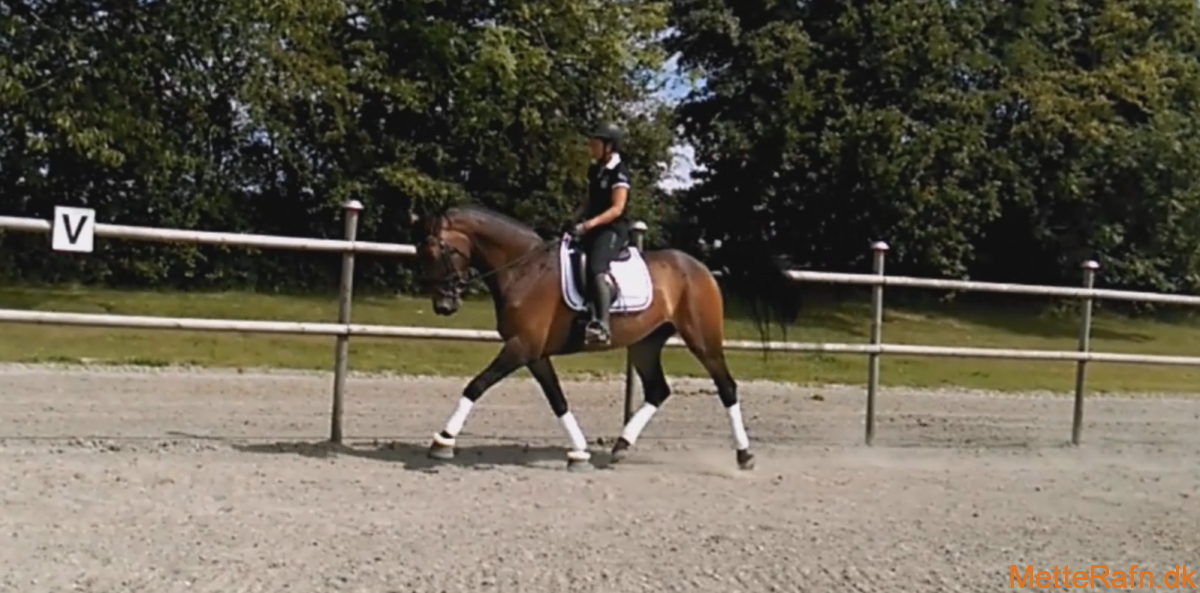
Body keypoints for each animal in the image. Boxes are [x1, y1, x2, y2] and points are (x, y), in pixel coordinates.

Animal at [412, 203, 798, 472]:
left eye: (439, 252)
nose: (443, 306)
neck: (523, 268)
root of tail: (699, 266)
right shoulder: (534, 353)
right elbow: (558, 400)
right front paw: (579, 452)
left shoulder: (520, 348)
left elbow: (476, 386)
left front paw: (443, 441)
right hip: (646, 343)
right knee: (658, 390)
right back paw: (621, 447)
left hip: (703, 339)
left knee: (726, 387)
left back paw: (744, 455)